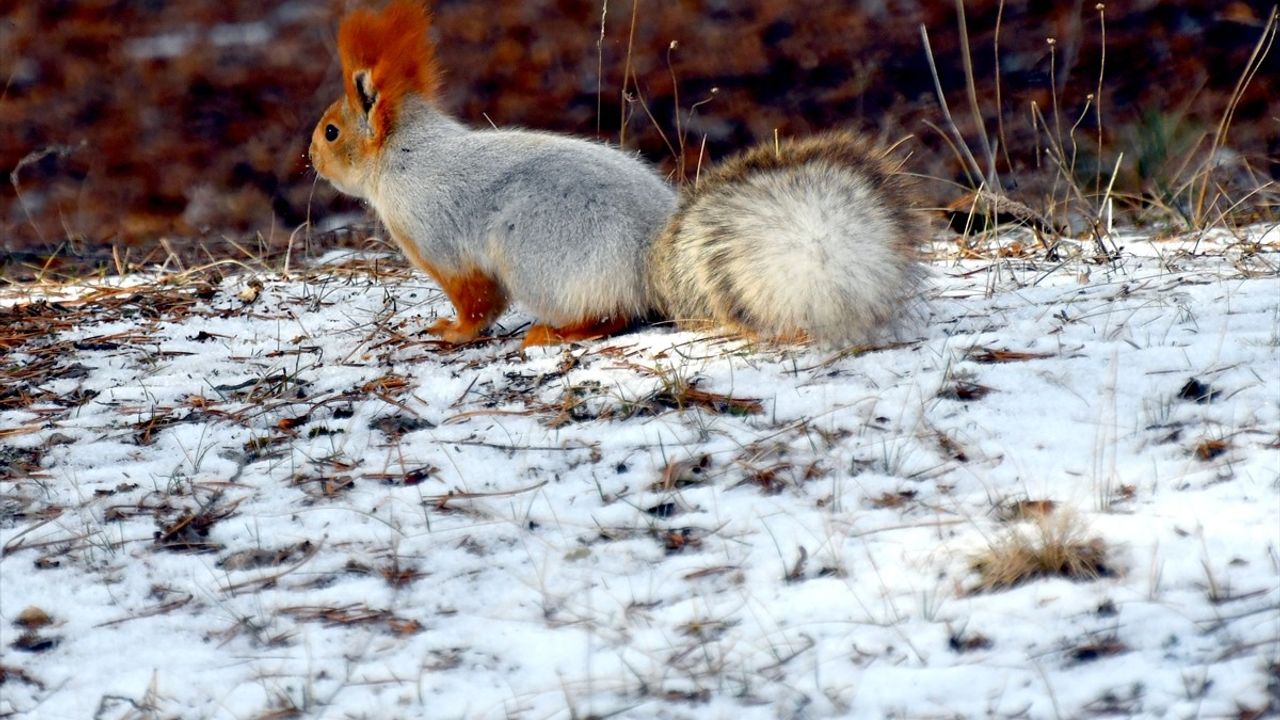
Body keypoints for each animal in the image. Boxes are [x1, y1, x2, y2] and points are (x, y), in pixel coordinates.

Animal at [313, 0, 926, 348]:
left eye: (331, 132)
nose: (311, 161)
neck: (405, 155)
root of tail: (650, 264)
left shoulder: (439, 240)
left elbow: (477, 302)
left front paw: (451, 332)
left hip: (537, 258)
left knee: (608, 317)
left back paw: (552, 334)